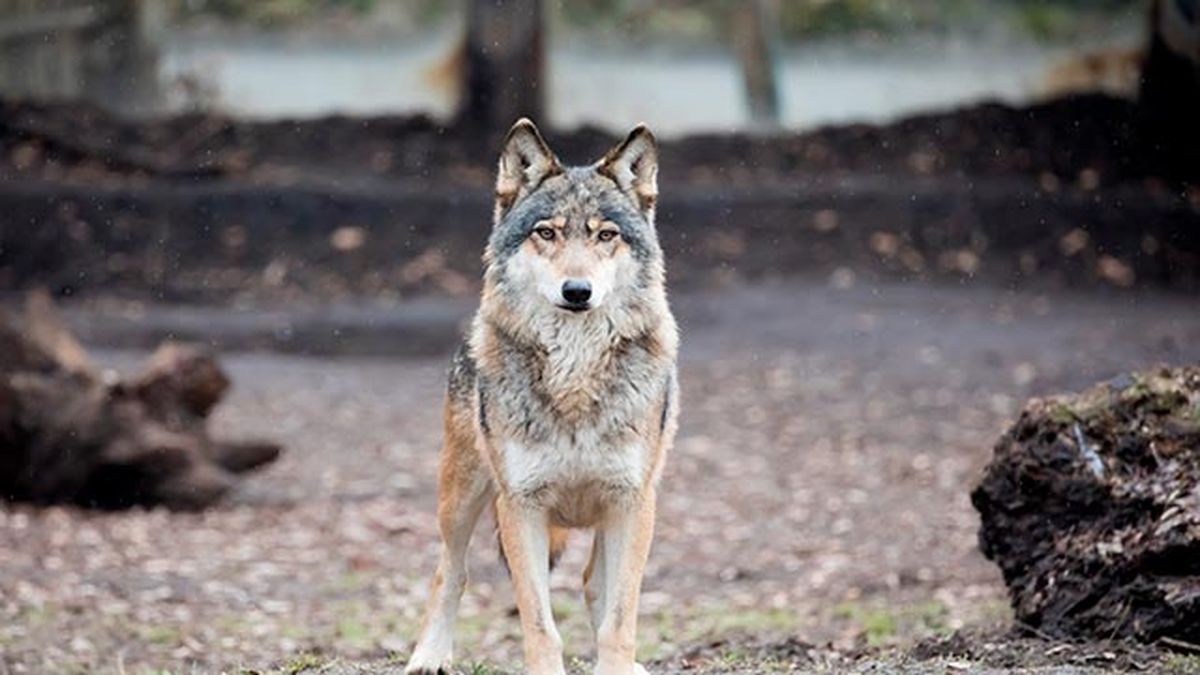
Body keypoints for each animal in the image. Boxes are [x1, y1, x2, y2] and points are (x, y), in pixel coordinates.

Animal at [405, 119, 679, 675]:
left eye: (605, 235)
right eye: (546, 233)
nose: (577, 291)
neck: (574, 376)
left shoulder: (632, 502)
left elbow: (619, 620)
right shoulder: (521, 505)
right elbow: (539, 624)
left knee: (594, 584)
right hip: (461, 497)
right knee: (451, 571)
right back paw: (429, 655)